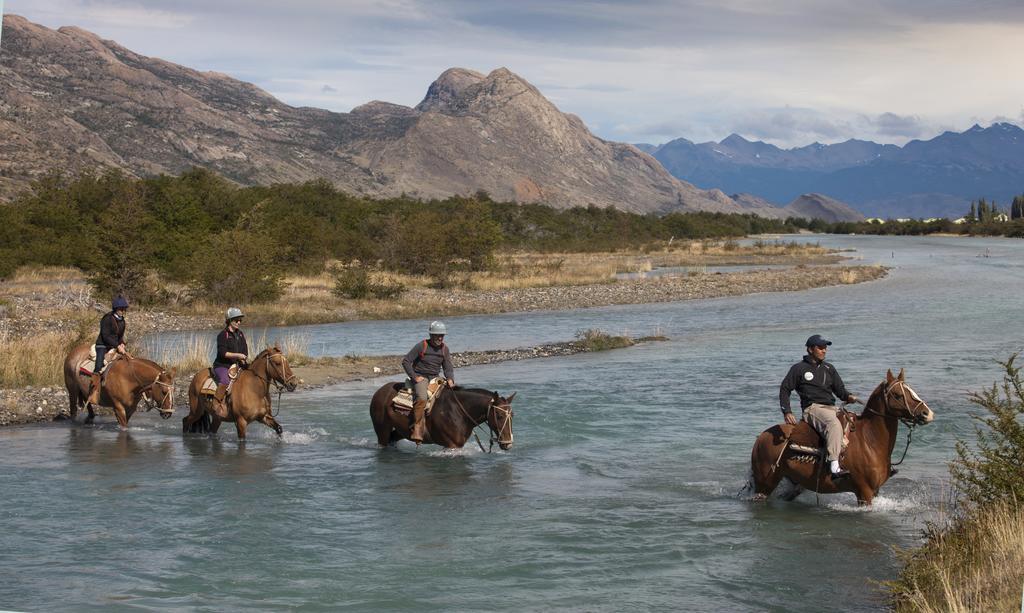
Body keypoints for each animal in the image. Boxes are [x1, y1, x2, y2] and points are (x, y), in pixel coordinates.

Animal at [368, 384, 516, 450]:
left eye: (512, 416)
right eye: (499, 415)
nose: (508, 444)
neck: (459, 412)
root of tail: (379, 392)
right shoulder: (451, 445)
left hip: (400, 431)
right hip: (382, 431)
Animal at [749, 366, 933, 505]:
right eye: (898, 395)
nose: (927, 414)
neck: (870, 440)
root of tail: (761, 437)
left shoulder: (875, 491)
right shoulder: (864, 494)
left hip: (793, 483)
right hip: (764, 484)